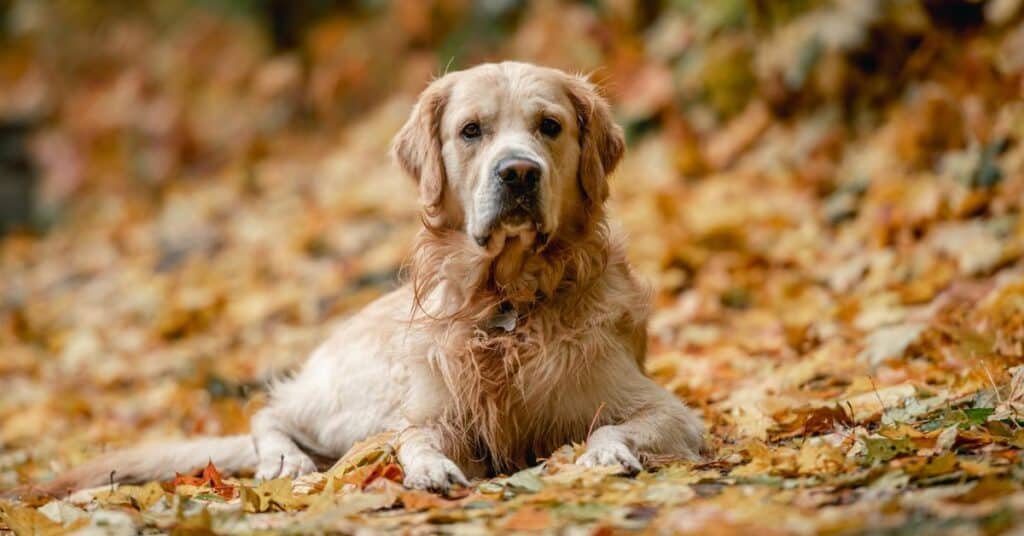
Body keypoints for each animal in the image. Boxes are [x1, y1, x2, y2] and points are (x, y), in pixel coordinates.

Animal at [29, 62, 704, 496]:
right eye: (471, 130)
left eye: (550, 126)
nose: (518, 173)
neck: (507, 300)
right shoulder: (434, 411)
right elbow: (414, 437)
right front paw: (428, 467)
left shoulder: (664, 407)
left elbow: (614, 424)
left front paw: (607, 451)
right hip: (359, 394)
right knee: (272, 412)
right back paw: (284, 460)